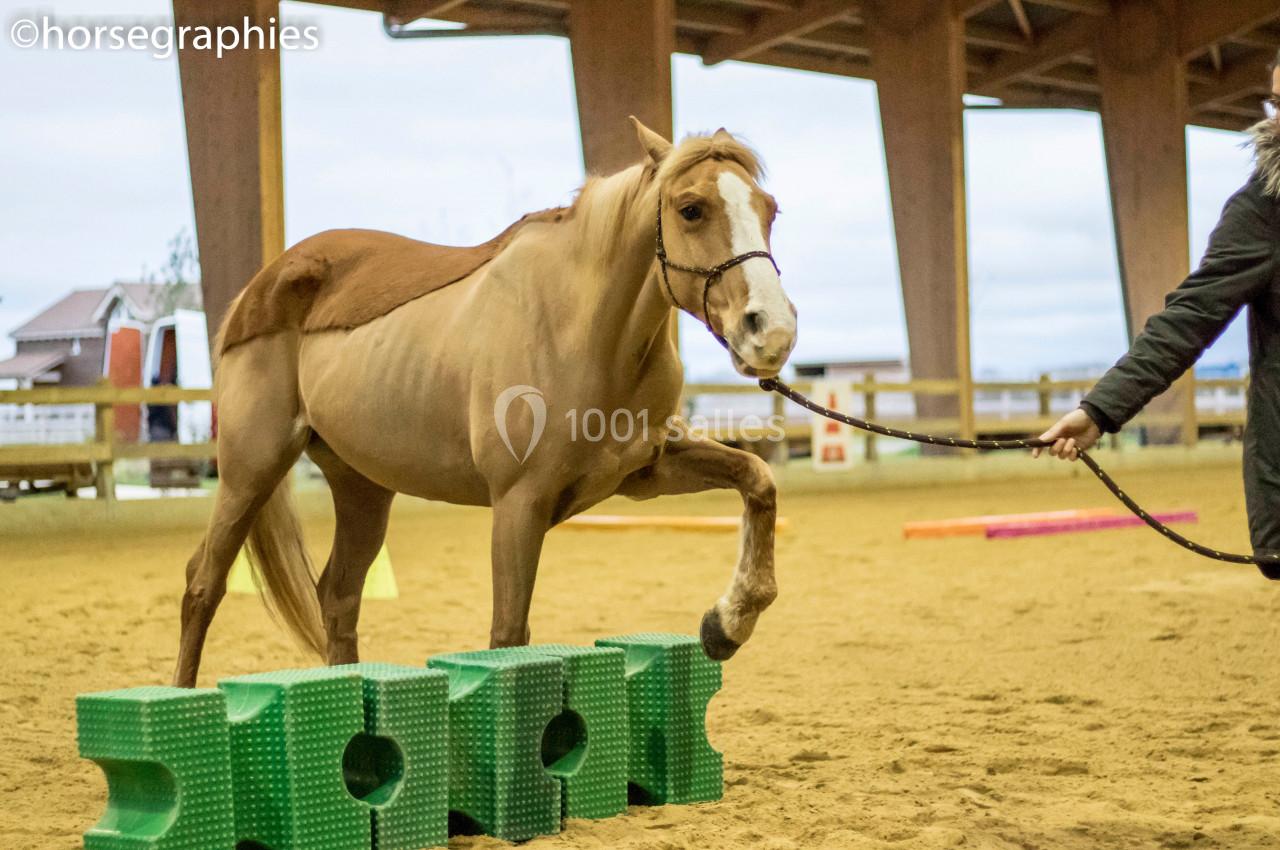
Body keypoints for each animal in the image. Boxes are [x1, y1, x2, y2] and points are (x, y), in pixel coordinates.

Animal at [173, 118, 798, 687]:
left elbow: (758, 479)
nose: (772, 331)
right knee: (203, 584)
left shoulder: (643, 473)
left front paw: (727, 623)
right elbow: (508, 636)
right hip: (249, 472)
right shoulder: (519, 504)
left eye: (770, 209)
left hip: (362, 488)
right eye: (691, 209)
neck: (581, 329)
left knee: (339, 596)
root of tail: (256, 291)